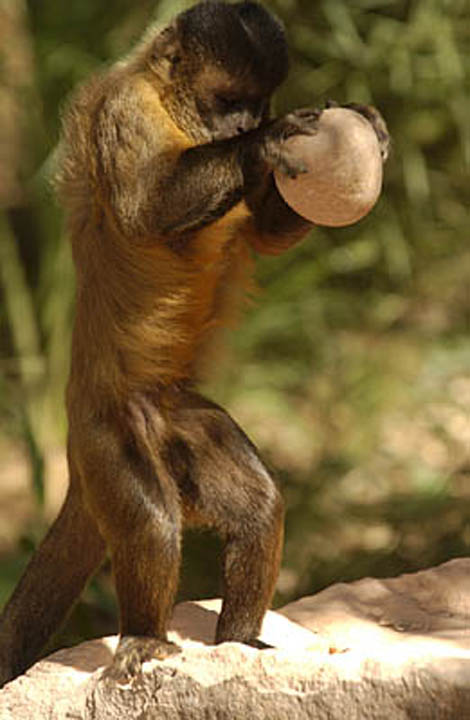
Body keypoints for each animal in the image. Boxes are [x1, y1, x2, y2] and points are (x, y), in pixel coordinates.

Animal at [0, 0, 390, 684]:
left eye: (255, 102)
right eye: (228, 100)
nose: (246, 123)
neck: (170, 104)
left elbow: (265, 233)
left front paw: (358, 126)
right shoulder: (122, 106)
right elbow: (143, 211)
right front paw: (262, 145)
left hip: (180, 416)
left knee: (260, 508)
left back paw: (238, 643)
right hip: (108, 433)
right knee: (153, 523)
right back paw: (143, 637)